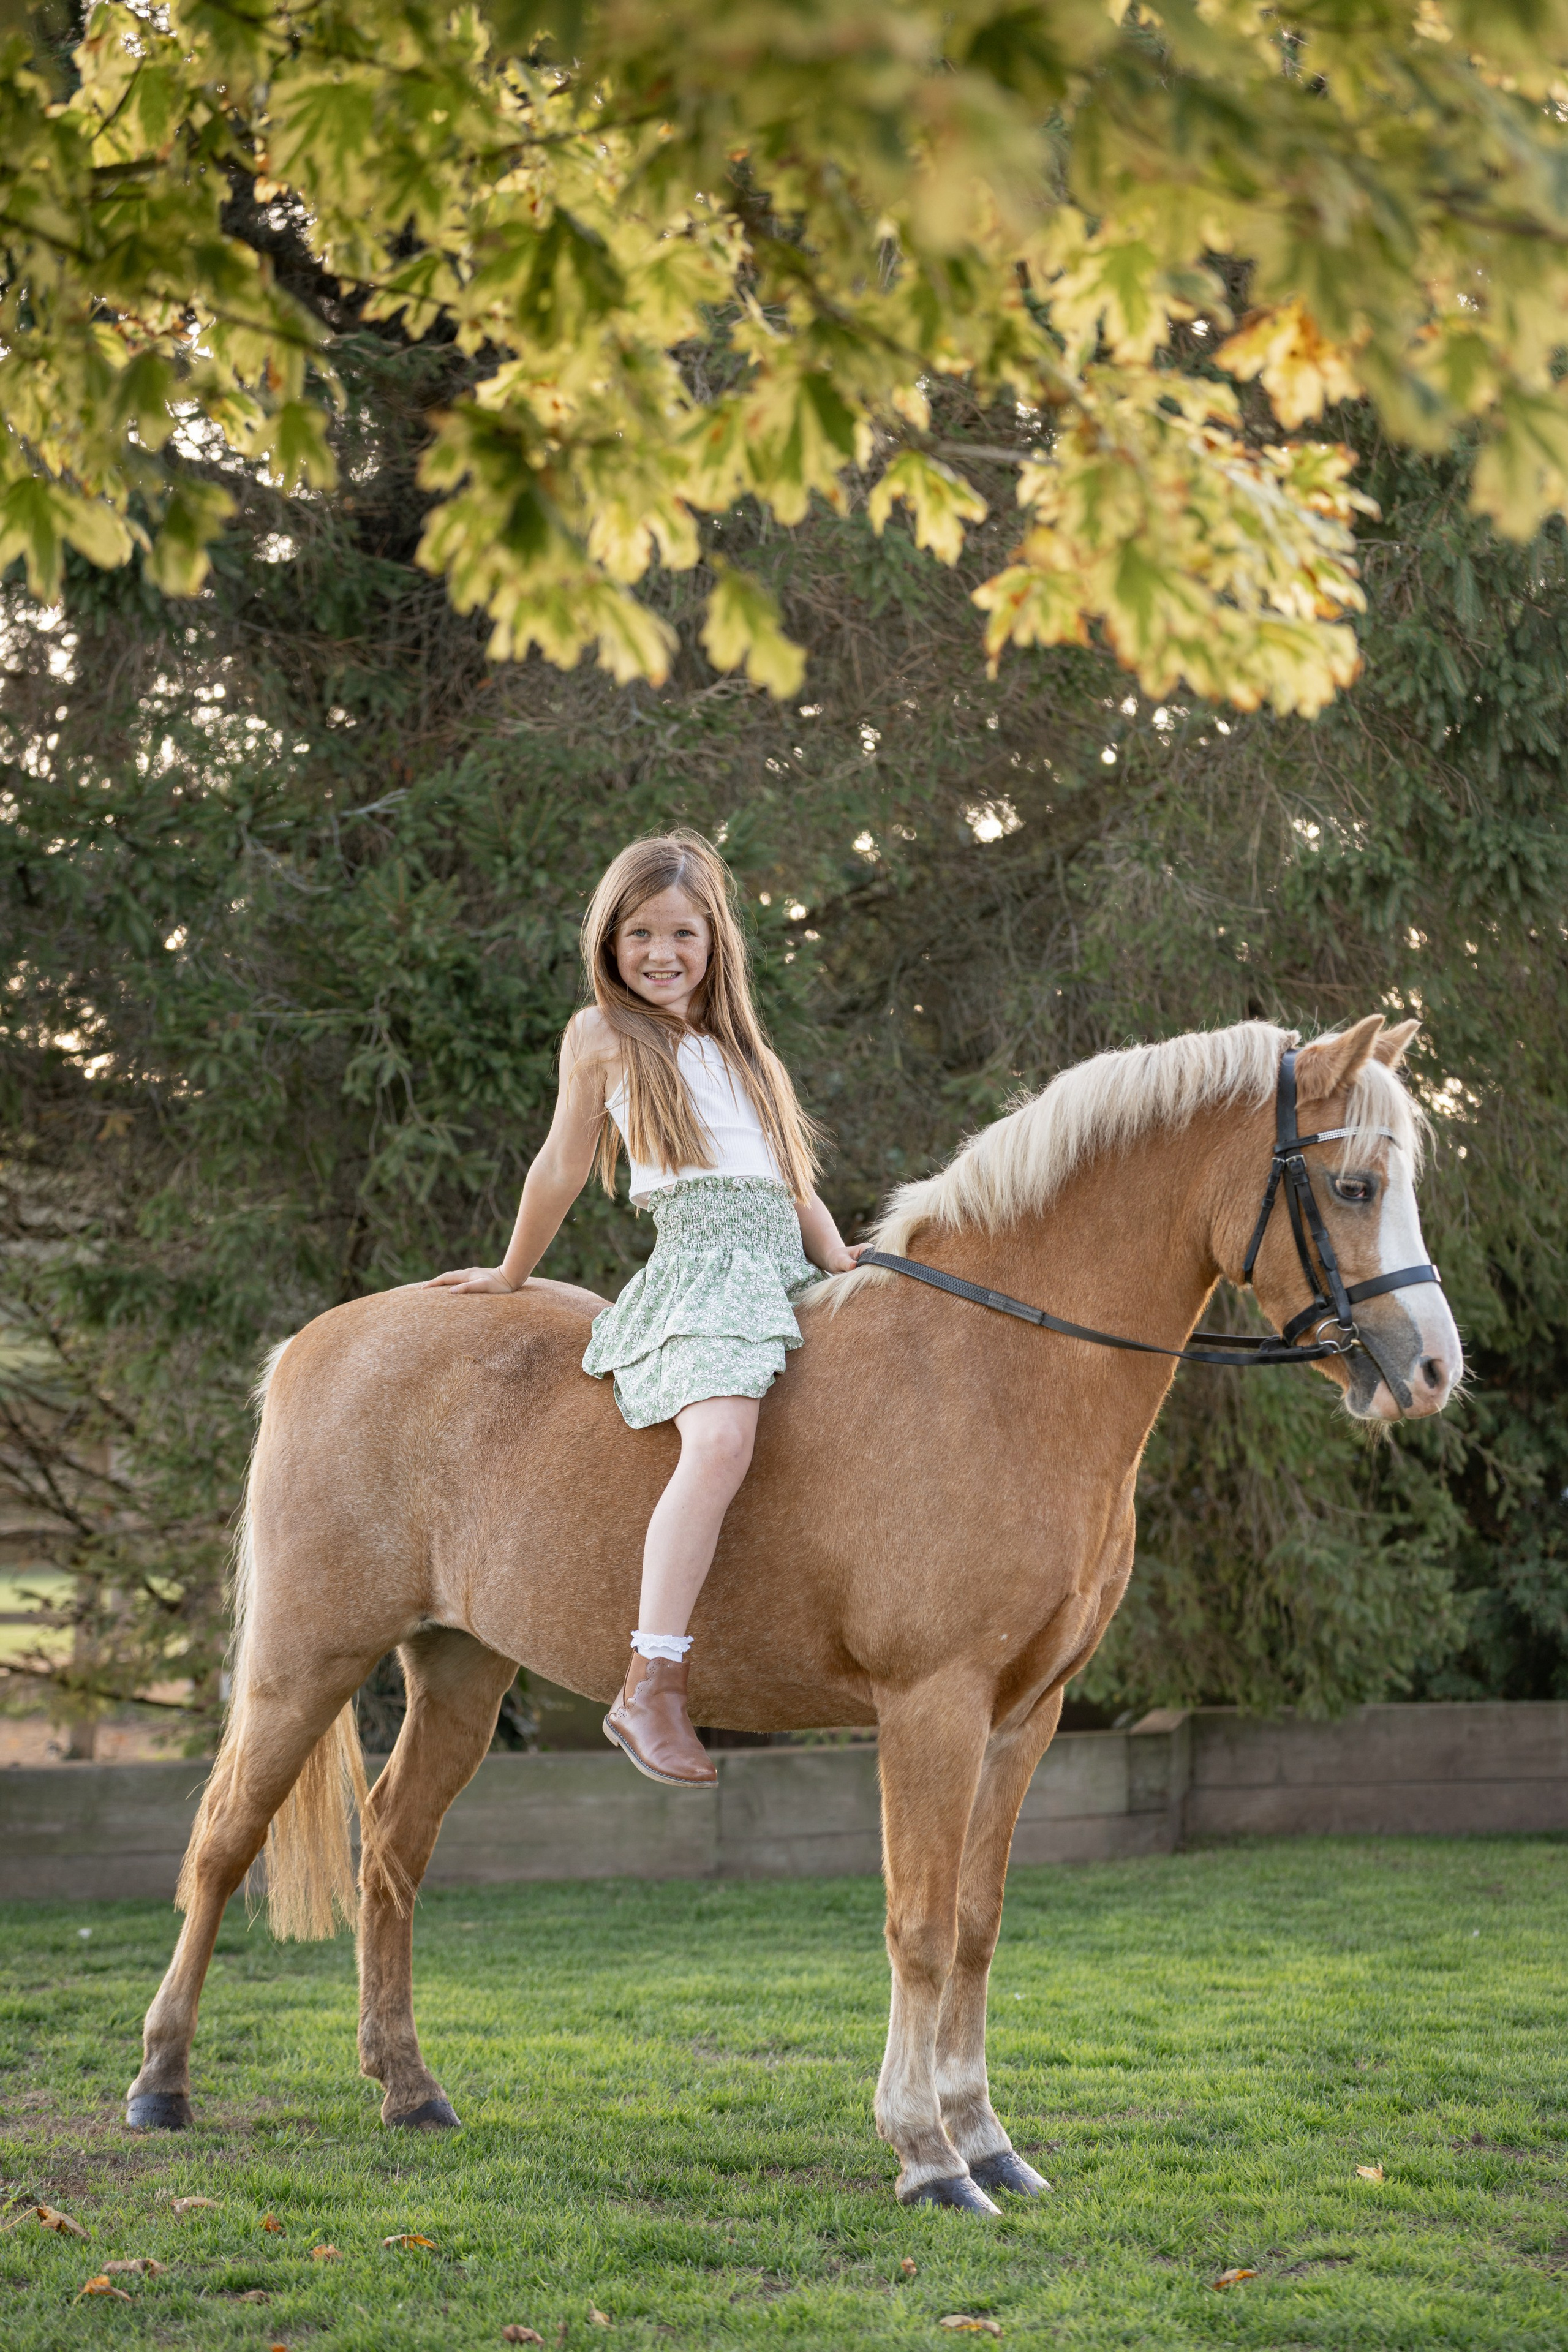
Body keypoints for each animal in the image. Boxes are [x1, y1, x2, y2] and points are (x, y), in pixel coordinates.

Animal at [126, 1013, 1461, 2213]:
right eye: (1350, 1184)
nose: (1435, 1371)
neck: (994, 1373)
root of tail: (324, 1336)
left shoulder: (1024, 1716)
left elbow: (975, 1925)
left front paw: (989, 2145)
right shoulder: (929, 1708)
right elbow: (917, 1925)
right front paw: (925, 2157)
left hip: (456, 1667)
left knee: (396, 1850)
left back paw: (408, 2090)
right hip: (307, 1662)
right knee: (222, 1841)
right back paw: (161, 2086)